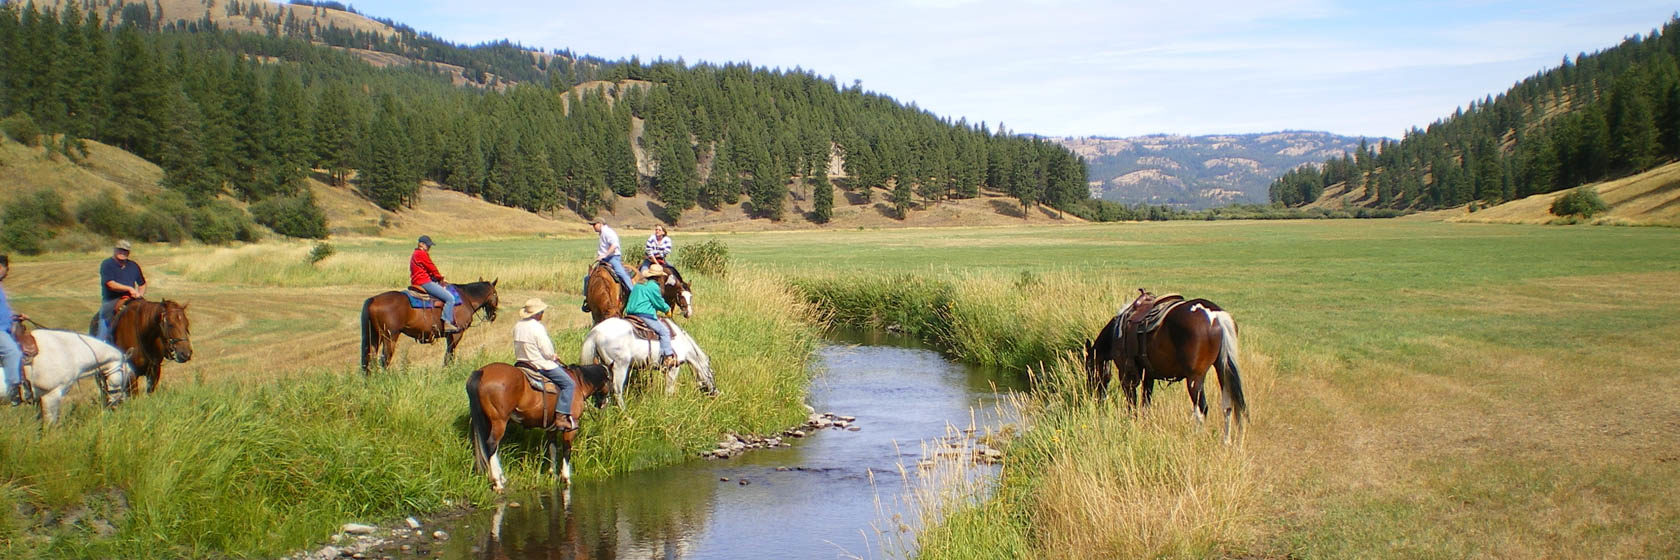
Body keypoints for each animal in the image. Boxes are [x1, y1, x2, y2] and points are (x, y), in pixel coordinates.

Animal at [359, 277, 497, 369]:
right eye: (496, 294)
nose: (493, 316)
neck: (466, 298)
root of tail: (373, 299)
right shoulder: (456, 333)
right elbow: (450, 355)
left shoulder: (449, 335)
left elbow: (448, 355)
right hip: (390, 336)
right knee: (385, 359)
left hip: (374, 336)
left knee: (370, 358)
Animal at [467, 361, 611, 487]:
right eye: (611, 379)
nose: (604, 403)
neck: (578, 383)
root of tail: (481, 371)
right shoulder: (571, 428)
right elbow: (567, 449)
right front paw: (566, 477)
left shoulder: (551, 428)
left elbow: (552, 449)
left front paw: (553, 474)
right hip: (499, 422)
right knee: (492, 444)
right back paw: (497, 482)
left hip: (487, 421)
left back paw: (500, 477)